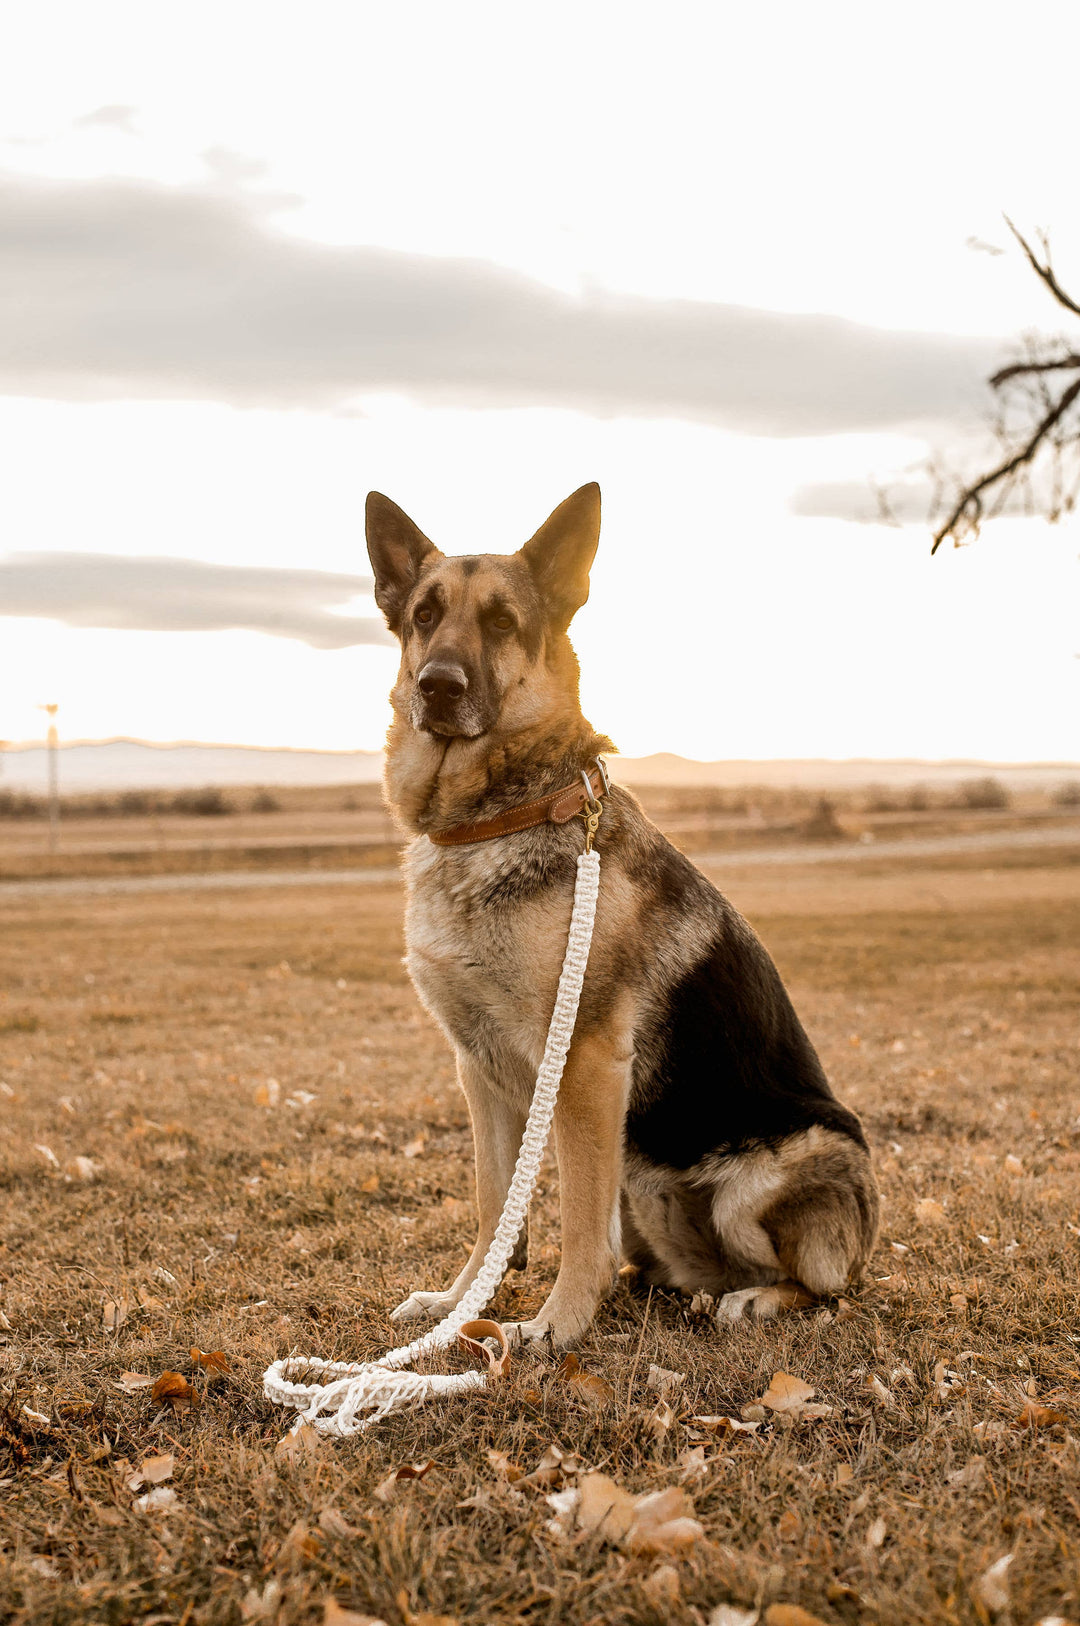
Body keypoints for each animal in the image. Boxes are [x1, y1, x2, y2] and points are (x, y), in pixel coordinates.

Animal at [367, 481, 871, 1346]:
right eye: (425, 614)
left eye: (502, 622)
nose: (437, 685)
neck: (497, 817)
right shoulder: (479, 1070)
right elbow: (493, 1207)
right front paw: (461, 1302)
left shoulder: (585, 1064)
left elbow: (573, 1217)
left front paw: (556, 1325)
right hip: (644, 1193)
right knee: (668, 1264)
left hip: (770, 1175)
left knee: (826, 1285)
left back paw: (755, 1299)